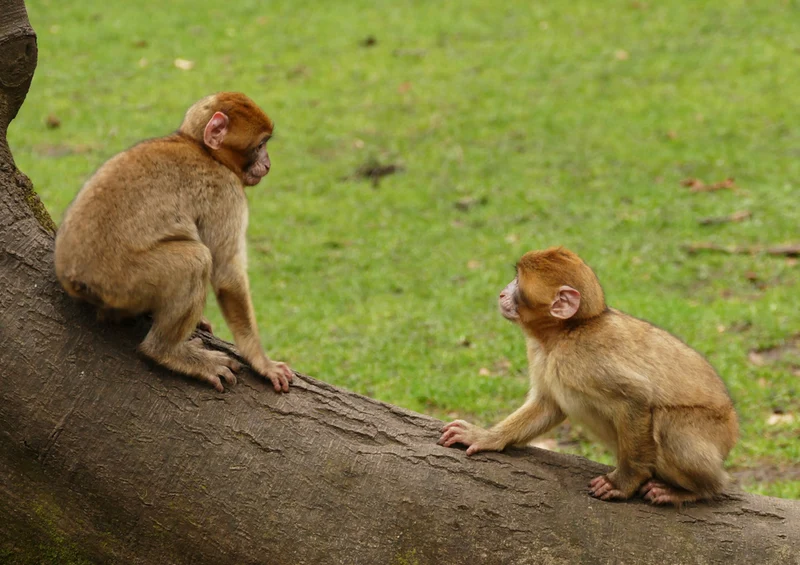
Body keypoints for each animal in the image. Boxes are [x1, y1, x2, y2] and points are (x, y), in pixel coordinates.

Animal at [54, 92, 294, 394]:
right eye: (260, 145)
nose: (268, 163)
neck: (201, 148)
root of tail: (72, 277)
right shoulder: (227, 192)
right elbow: (226, 273)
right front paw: (262, 362)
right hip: (124, 281)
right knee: (196, 260)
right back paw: (166, 352)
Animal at [438, 247, 738, 505]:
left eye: (518, 283)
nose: (502, 294)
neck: (565, 333)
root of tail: (732, 430)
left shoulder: (582, 358)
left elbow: (636, 398)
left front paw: (624, 483)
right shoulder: (540, 353)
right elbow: (548, 405)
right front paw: (486, 437)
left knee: (667, 424)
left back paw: (699, 489)